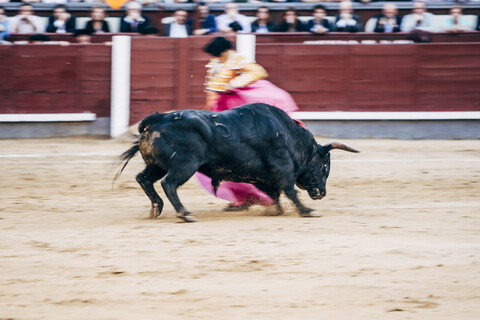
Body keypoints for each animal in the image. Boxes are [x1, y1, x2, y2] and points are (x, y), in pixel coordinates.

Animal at [116, 103, 358, 222]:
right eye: (324, 166)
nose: (321, 193)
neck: (290, 136)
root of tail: (157, 119)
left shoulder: (264, 176)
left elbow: (275, 194)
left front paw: (276, 211)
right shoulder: (283, 169)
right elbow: (290, 191)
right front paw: (307, 211)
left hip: (156, 165)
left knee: (143, 179)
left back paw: (156, 209)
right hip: (185, 165)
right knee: (169, 184)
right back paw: (185, 214)